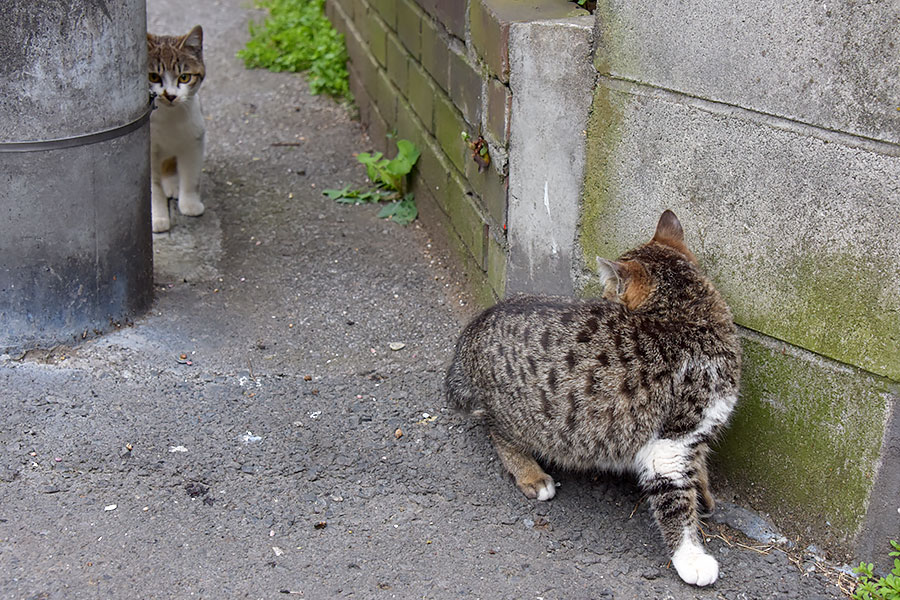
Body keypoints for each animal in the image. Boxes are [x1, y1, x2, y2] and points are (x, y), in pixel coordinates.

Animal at [148, 25, 207, 233]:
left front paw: (189, 204)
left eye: (184, 77)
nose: (171, 96)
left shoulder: (194, 139)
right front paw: (157, 217)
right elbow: (152, 188)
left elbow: (191, 175)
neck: (169, 118)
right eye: (153, 76)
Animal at [446, 211, 740, 584]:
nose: (602, 294)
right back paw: (530, 474)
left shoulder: (694, 434)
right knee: (497, 431)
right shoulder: (668, 445)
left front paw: (703, 491)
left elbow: (698, 464)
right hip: (527, 419)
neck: (689, 316)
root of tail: (474, 329)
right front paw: (690, 557)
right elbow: (675, 502)